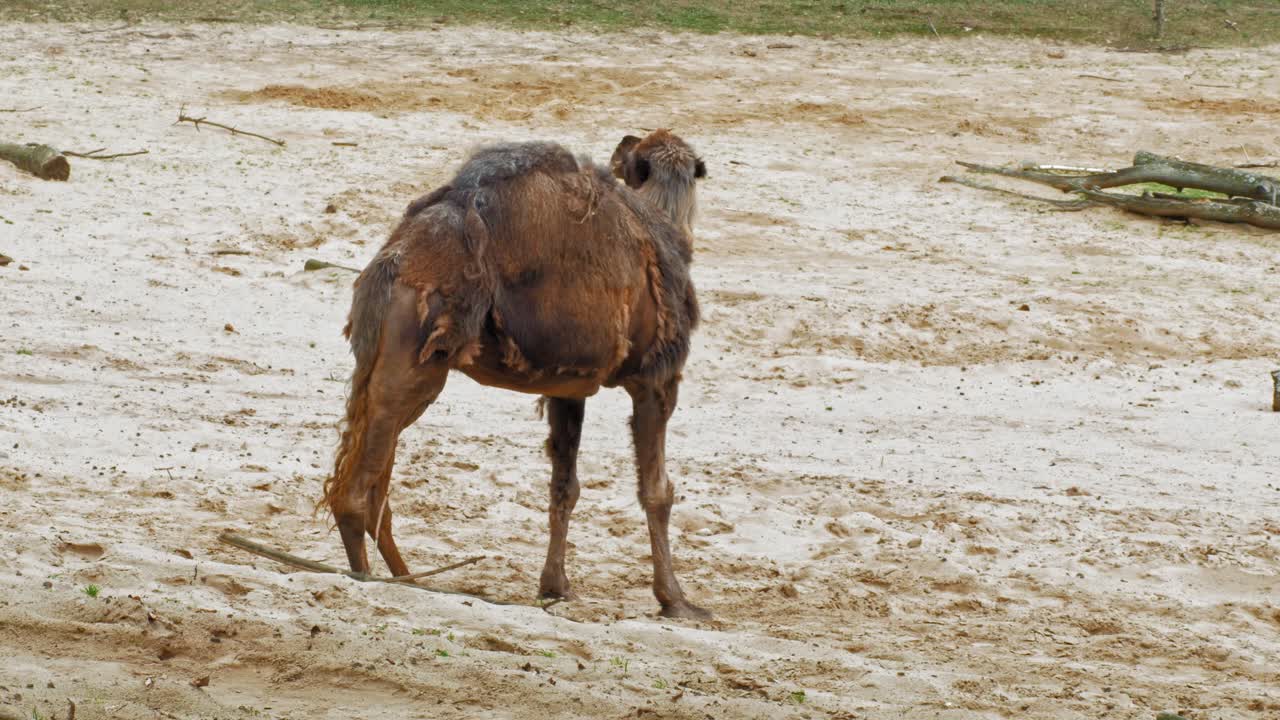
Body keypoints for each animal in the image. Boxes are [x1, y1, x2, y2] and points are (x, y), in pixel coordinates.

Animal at [322, 130, 710, 619]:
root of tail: (392, 263)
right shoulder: (656, 378)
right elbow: (657, 491)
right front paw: (676, 600)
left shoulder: (569, 386)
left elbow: (565, 486)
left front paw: (555, 586)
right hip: (414, 362)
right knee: (356, 491)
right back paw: (371, 579)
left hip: (389, 362)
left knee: (372, 482)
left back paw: (407, 577)